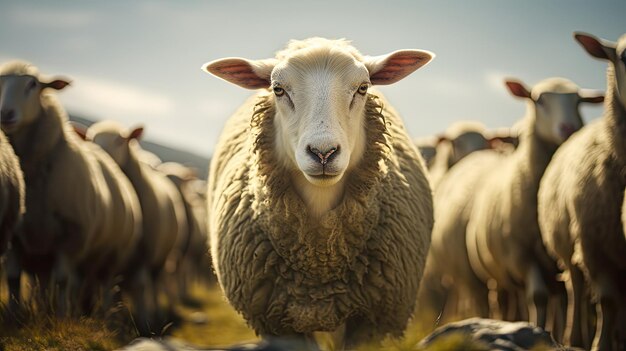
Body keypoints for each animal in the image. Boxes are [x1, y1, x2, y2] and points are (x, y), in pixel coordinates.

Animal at [0, 62, 141, 318]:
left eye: (33, 84)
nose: (5, 114)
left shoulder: (71, 236)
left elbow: (63, 280)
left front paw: (61, 316)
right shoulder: (14, 236)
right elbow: (14, 278)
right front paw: (14, 314)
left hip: (110, 256)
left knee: (104, 284)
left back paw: (101, 314)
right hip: (43, 253)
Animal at [202, 38, 432, 350]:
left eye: (363, 88)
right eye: (278, 89)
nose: (324, 153)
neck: (320, 257)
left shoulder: (373, 320)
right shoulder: (279, 322)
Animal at [460, 77, 604, 338]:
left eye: (579, 102)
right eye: (539, 101)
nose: (568, 128)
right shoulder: (523, 254)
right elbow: (537, 298)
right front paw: (536, 330)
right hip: (501, 273)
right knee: (510, 299)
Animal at [532, 31, 624, 350]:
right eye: (623, 56)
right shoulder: (593, 243)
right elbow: (607, 301)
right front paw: (599, 345)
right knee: (577, 287)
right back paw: (576, 338)